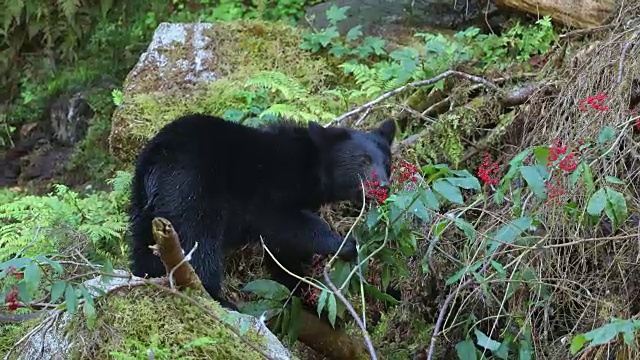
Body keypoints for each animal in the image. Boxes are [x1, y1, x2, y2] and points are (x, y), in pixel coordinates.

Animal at [127, 114, 396, 310]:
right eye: (363, 160)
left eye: (387, 163)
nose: (383, 186)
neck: (309, 167)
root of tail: (157, 159)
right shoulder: (270, 191)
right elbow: (284, 225)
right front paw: (344, 244)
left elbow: (283, 252)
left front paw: (298, 285)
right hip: (191, 187)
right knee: (199, 239)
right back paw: (217, 297)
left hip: (144, 203)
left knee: (144, 242)